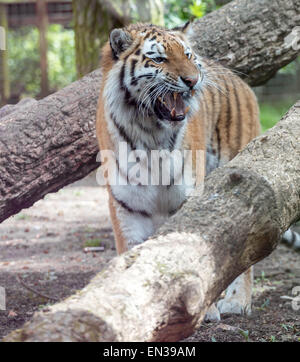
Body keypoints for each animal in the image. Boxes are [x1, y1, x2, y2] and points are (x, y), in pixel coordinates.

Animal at [95, 22, 298, 320]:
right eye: (159, 59)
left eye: (188, 55)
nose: (193, 80)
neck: (150, 133)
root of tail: (242, 82)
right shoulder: (128, 206)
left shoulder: (189, 198)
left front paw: (205, 309)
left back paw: (237, 301)